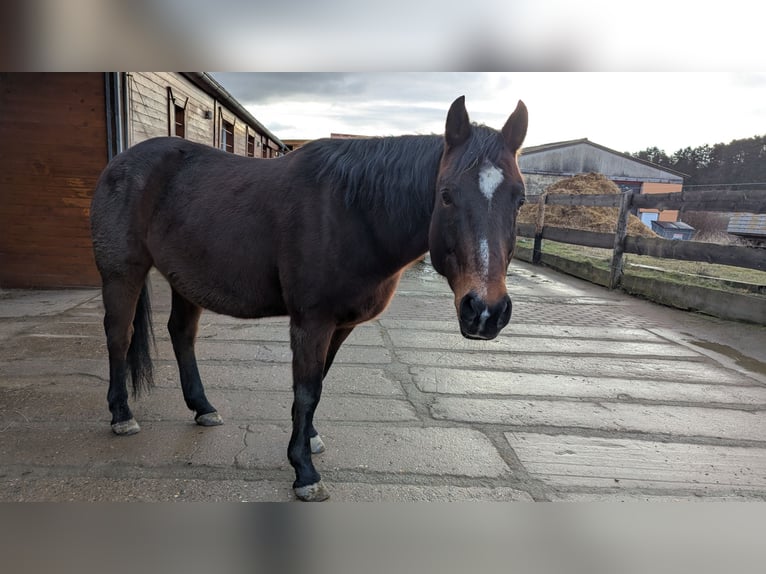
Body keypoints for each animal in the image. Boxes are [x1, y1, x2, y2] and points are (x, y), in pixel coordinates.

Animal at [90, 96, 528, 501]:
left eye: (520, 198)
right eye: (447, 195)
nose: (484, 311)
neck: (351, 212)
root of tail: (120, 163)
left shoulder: (340, 325)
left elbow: (320, 381)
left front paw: (310, 439)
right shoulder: (311, 321)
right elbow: (307, 390)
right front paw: (304, 471)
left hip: (185, 280)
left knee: (181, 334)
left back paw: (203, 408)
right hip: (122, 273)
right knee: (119, 336)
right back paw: (121, 415)